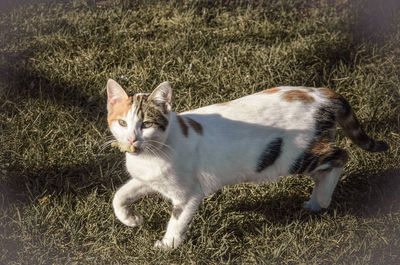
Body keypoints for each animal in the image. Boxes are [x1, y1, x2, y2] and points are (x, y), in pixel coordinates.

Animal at [105, 78, 388, 248]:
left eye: (146, 124)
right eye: (122, 123)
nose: (131, 139)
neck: (152, 154)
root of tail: (321, 93)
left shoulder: (188, 194)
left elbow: (177, 220)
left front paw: (168, 245)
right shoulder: (146, 179)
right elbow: (119, 196)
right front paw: (131, 219)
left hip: (295, 156)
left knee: (340, 156)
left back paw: (324, 199)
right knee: (325, 168)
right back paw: (315, 201)